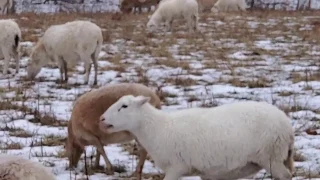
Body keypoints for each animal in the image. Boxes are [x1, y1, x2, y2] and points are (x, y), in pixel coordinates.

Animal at [100, 96, 296, 180]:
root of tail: (286, 124)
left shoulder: (176, 167)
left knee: (285, 176)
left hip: (271, 156)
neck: (158, 128)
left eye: (124, 106)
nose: (101, 119)